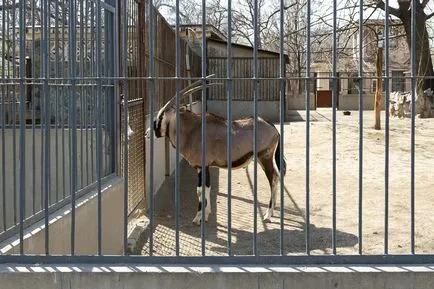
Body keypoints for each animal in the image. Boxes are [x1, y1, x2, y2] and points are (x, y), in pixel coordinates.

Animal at [145, 76, 284, 225]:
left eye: (160, 117)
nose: (147, 133)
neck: (192, 130)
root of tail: (273, 128)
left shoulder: (202, 166)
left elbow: (200, 190)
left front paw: (198, 218)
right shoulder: (202, 167)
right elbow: (206, 189)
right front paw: (206, 214)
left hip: (265, 157)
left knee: (273, 178)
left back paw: (268, 215)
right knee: (276, 177)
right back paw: (272, 212)